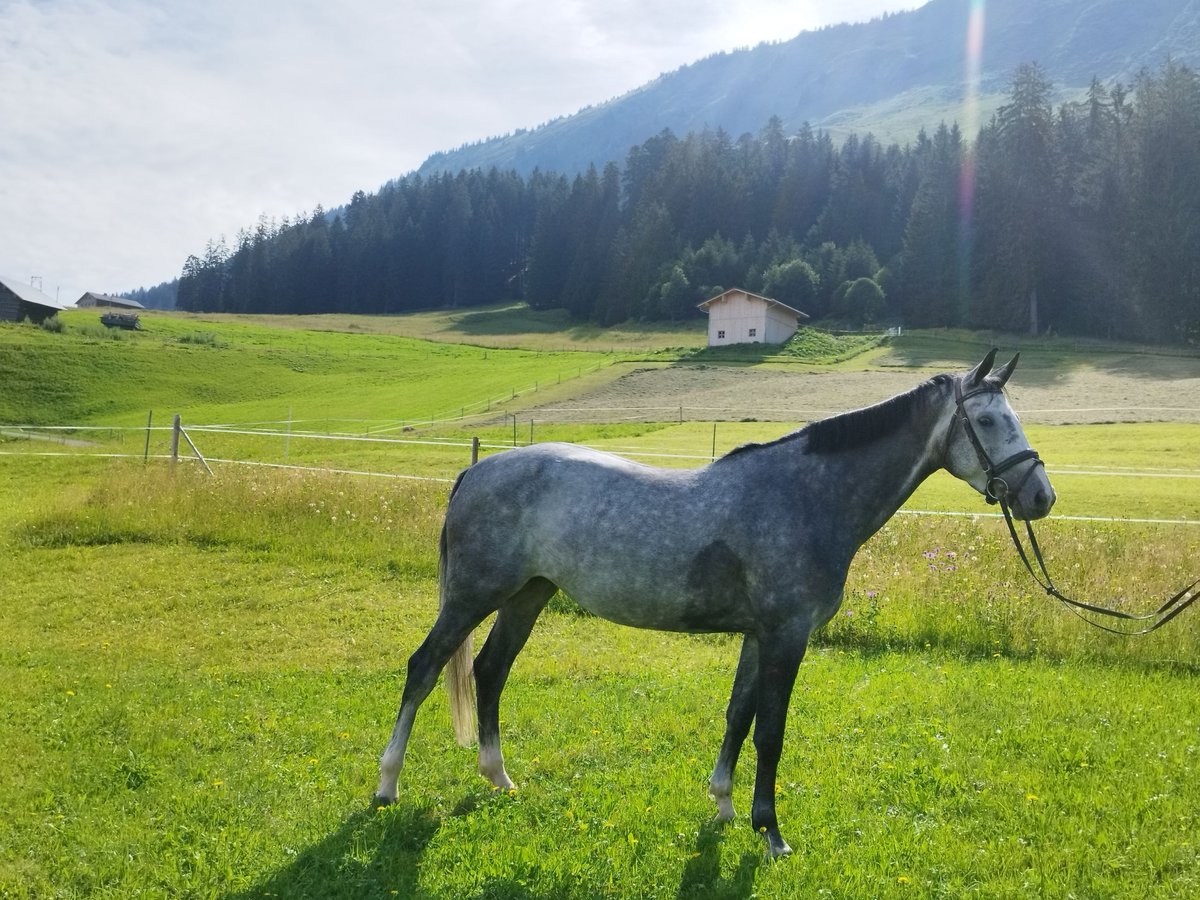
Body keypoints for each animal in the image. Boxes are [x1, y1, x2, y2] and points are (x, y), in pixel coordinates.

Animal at [372, 350, 1051, 859]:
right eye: (989, 422)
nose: (1041, 496)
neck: (807, 495)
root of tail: (476, 473)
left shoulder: (758, 635)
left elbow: (737, 718)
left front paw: (725, 807)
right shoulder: (787, 635)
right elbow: (771, 732)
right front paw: (771, 832)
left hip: (526, 597)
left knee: (490, 671)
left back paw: (500, 779)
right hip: (473, 596)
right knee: (424, 668)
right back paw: (386, 787)